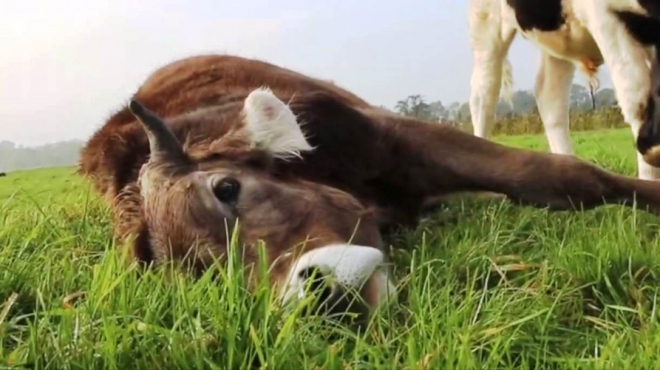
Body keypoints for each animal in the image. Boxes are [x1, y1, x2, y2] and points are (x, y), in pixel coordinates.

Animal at [470, 0, 660, 179]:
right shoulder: (604, 15)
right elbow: (636, 98)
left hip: (558, 38)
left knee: (549, 97)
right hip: (485, 21)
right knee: (483, 95)